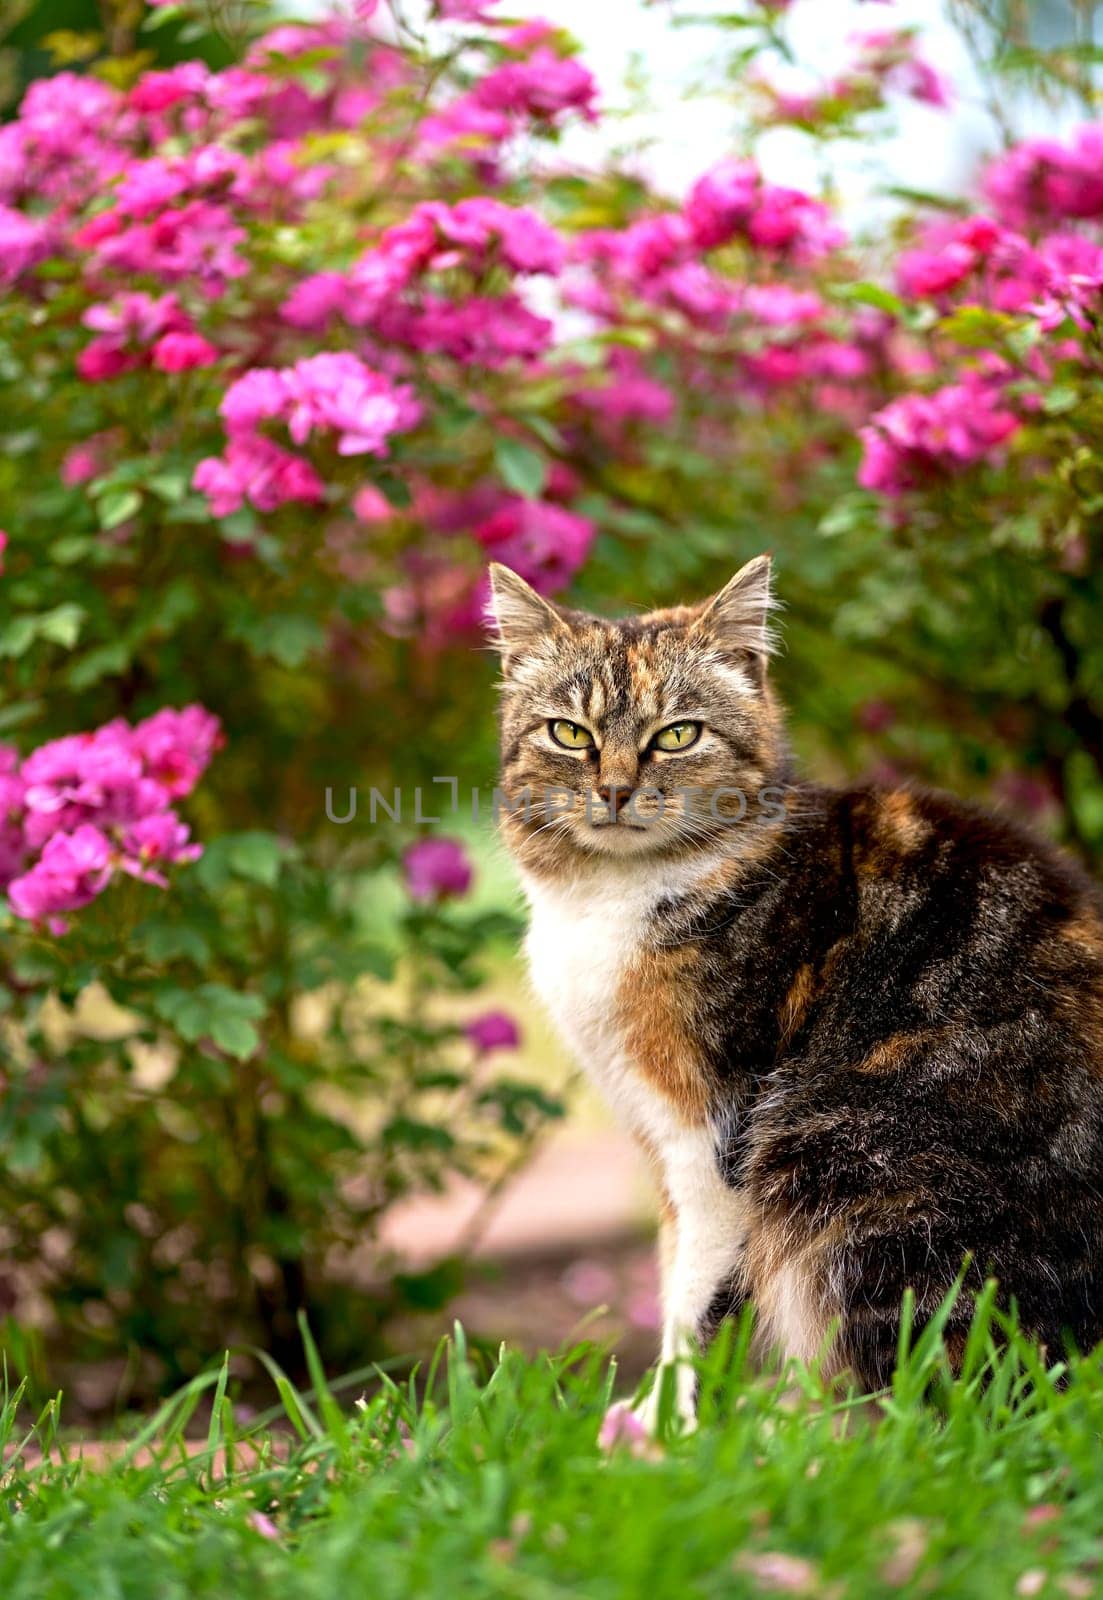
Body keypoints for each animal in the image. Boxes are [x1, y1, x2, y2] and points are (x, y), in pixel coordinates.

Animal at [486, 553, 1101, 1427]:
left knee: (936, 1402)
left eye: (677, 735)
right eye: (569, 733)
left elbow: (695, 1298)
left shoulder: (714, 1129)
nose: (613, 791)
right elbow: (671, 1266)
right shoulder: (653, 1132)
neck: (606, 899)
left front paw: (668, 1432)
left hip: (837, 1160)